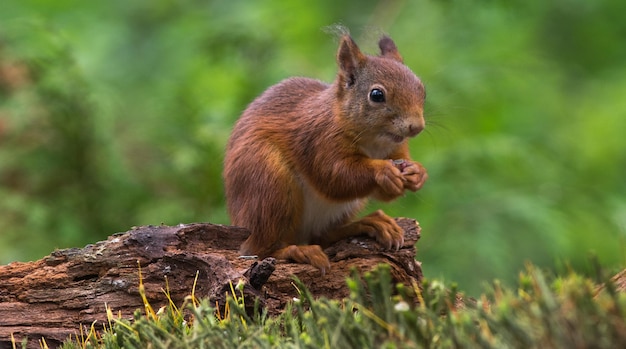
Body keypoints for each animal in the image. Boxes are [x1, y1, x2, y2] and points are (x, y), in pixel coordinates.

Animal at [223, 32, 424, 272]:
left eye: (422, 88)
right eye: (376, 95)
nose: (416, 127)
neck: (374, 142)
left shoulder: (396, 148)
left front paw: (417, 173)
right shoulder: (319, 139)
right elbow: (333, 176)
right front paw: (383, 171)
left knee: (322, 235)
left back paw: (369, 223)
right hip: (268, 185)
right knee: (259, 249)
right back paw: (296, 251)